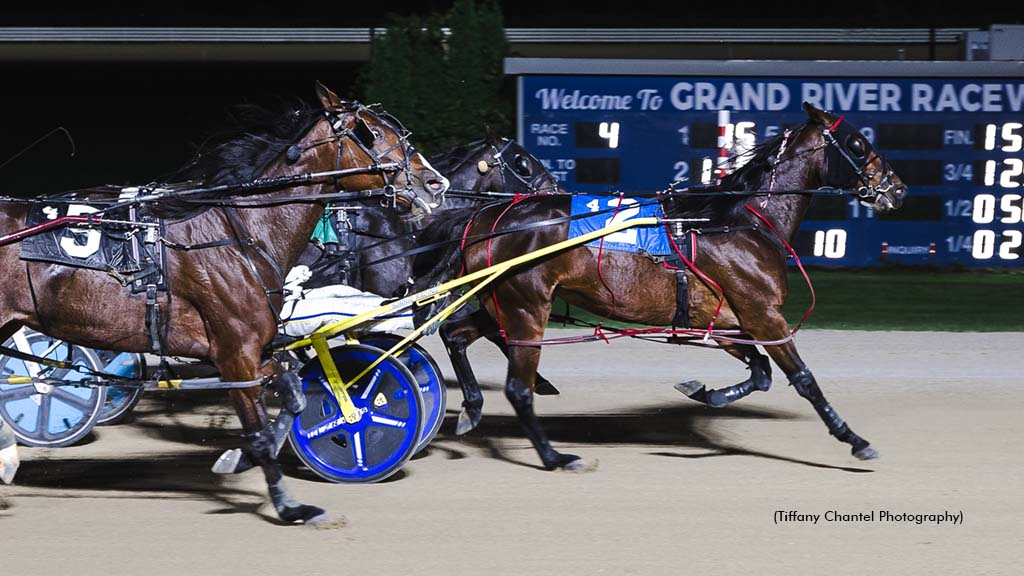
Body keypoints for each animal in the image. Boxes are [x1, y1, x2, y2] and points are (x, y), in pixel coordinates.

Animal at [0, 83, 448, 522]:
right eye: (371, 133)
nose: (434, 183)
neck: (240, 233)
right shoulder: (235, 354)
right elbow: (262, 431)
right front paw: (290, 506)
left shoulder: (255, 350)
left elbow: (295, 394)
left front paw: (238, 458)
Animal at [415, 103, 905, 469]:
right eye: (858, 144)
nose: (897, 189)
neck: (738, 222)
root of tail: (485, 218)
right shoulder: (763, 314)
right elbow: (802, 379)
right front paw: (854, 439)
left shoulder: (726, 321)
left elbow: (761, 373)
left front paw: (703, 391)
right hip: (526, 307)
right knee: (517, 387)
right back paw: (556, 457)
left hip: (503, 302)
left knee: (457, 334)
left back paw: (473, 407)